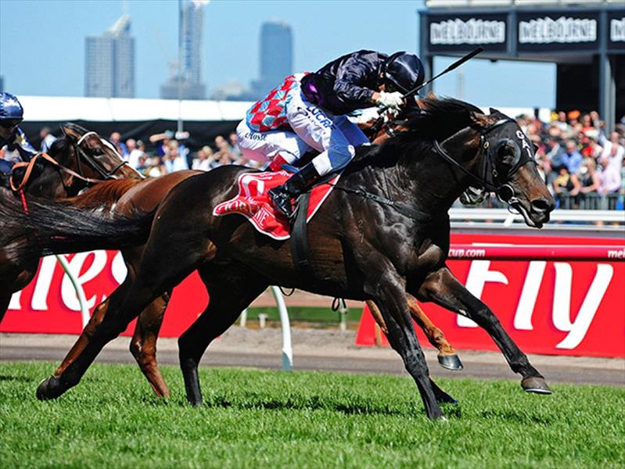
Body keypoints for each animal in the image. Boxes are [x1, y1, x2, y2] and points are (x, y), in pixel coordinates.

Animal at [36, 97, 556, 418]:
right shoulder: (383, 279)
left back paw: (196, 404)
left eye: (533, 148)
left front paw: (532, 376)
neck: (400, 189)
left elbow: (485, 313)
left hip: (233, 286)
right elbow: (409, 345)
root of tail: (171, 188)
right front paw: (433, 409)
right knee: (110, 315)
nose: (544, 204)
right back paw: (53, 385)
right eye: (507, 151)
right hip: (162, 265)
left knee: (189, 340)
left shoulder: (427, 276)